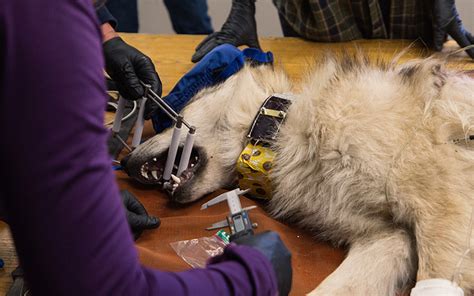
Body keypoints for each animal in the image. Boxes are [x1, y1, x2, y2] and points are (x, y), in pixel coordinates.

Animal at [120, 53, 472, 296]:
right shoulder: (390, 238)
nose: (124, 163)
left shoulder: (441, 210)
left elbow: (431, 281)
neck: (281, 131)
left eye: (177, 113)